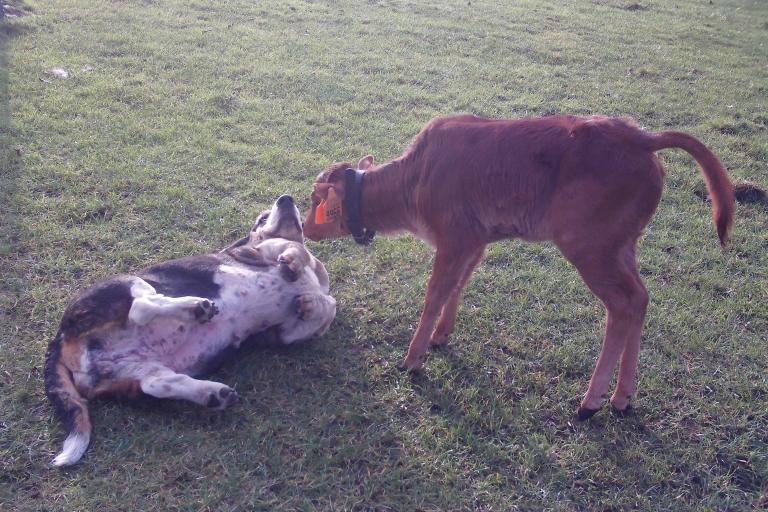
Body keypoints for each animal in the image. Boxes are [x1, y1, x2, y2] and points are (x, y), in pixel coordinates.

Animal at [45, 194, 336, 466]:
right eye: (262, 218)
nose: (286, 198)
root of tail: (59, 339)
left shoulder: (287, 331)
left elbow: (328, 305)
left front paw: (311, 302)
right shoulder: (258, 252)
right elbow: (294, 249)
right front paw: (293, 265)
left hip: (131, 372)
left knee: (157, 383)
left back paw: (212, 395)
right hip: (127, 282)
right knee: (141, 306)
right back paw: (196, 308)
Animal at [304, 114, 736, 418]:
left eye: (314, 200)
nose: (306, 229)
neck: (416, 180)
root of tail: (638, 135)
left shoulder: (454, 239)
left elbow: (434, 294)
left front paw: (412, 359)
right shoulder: (474, 242)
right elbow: (458, 285)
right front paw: (441, 337)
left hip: (590, 249)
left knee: (623, 304)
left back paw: (591, 401)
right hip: (622, 246)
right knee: (642, 298)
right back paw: (622, 397)